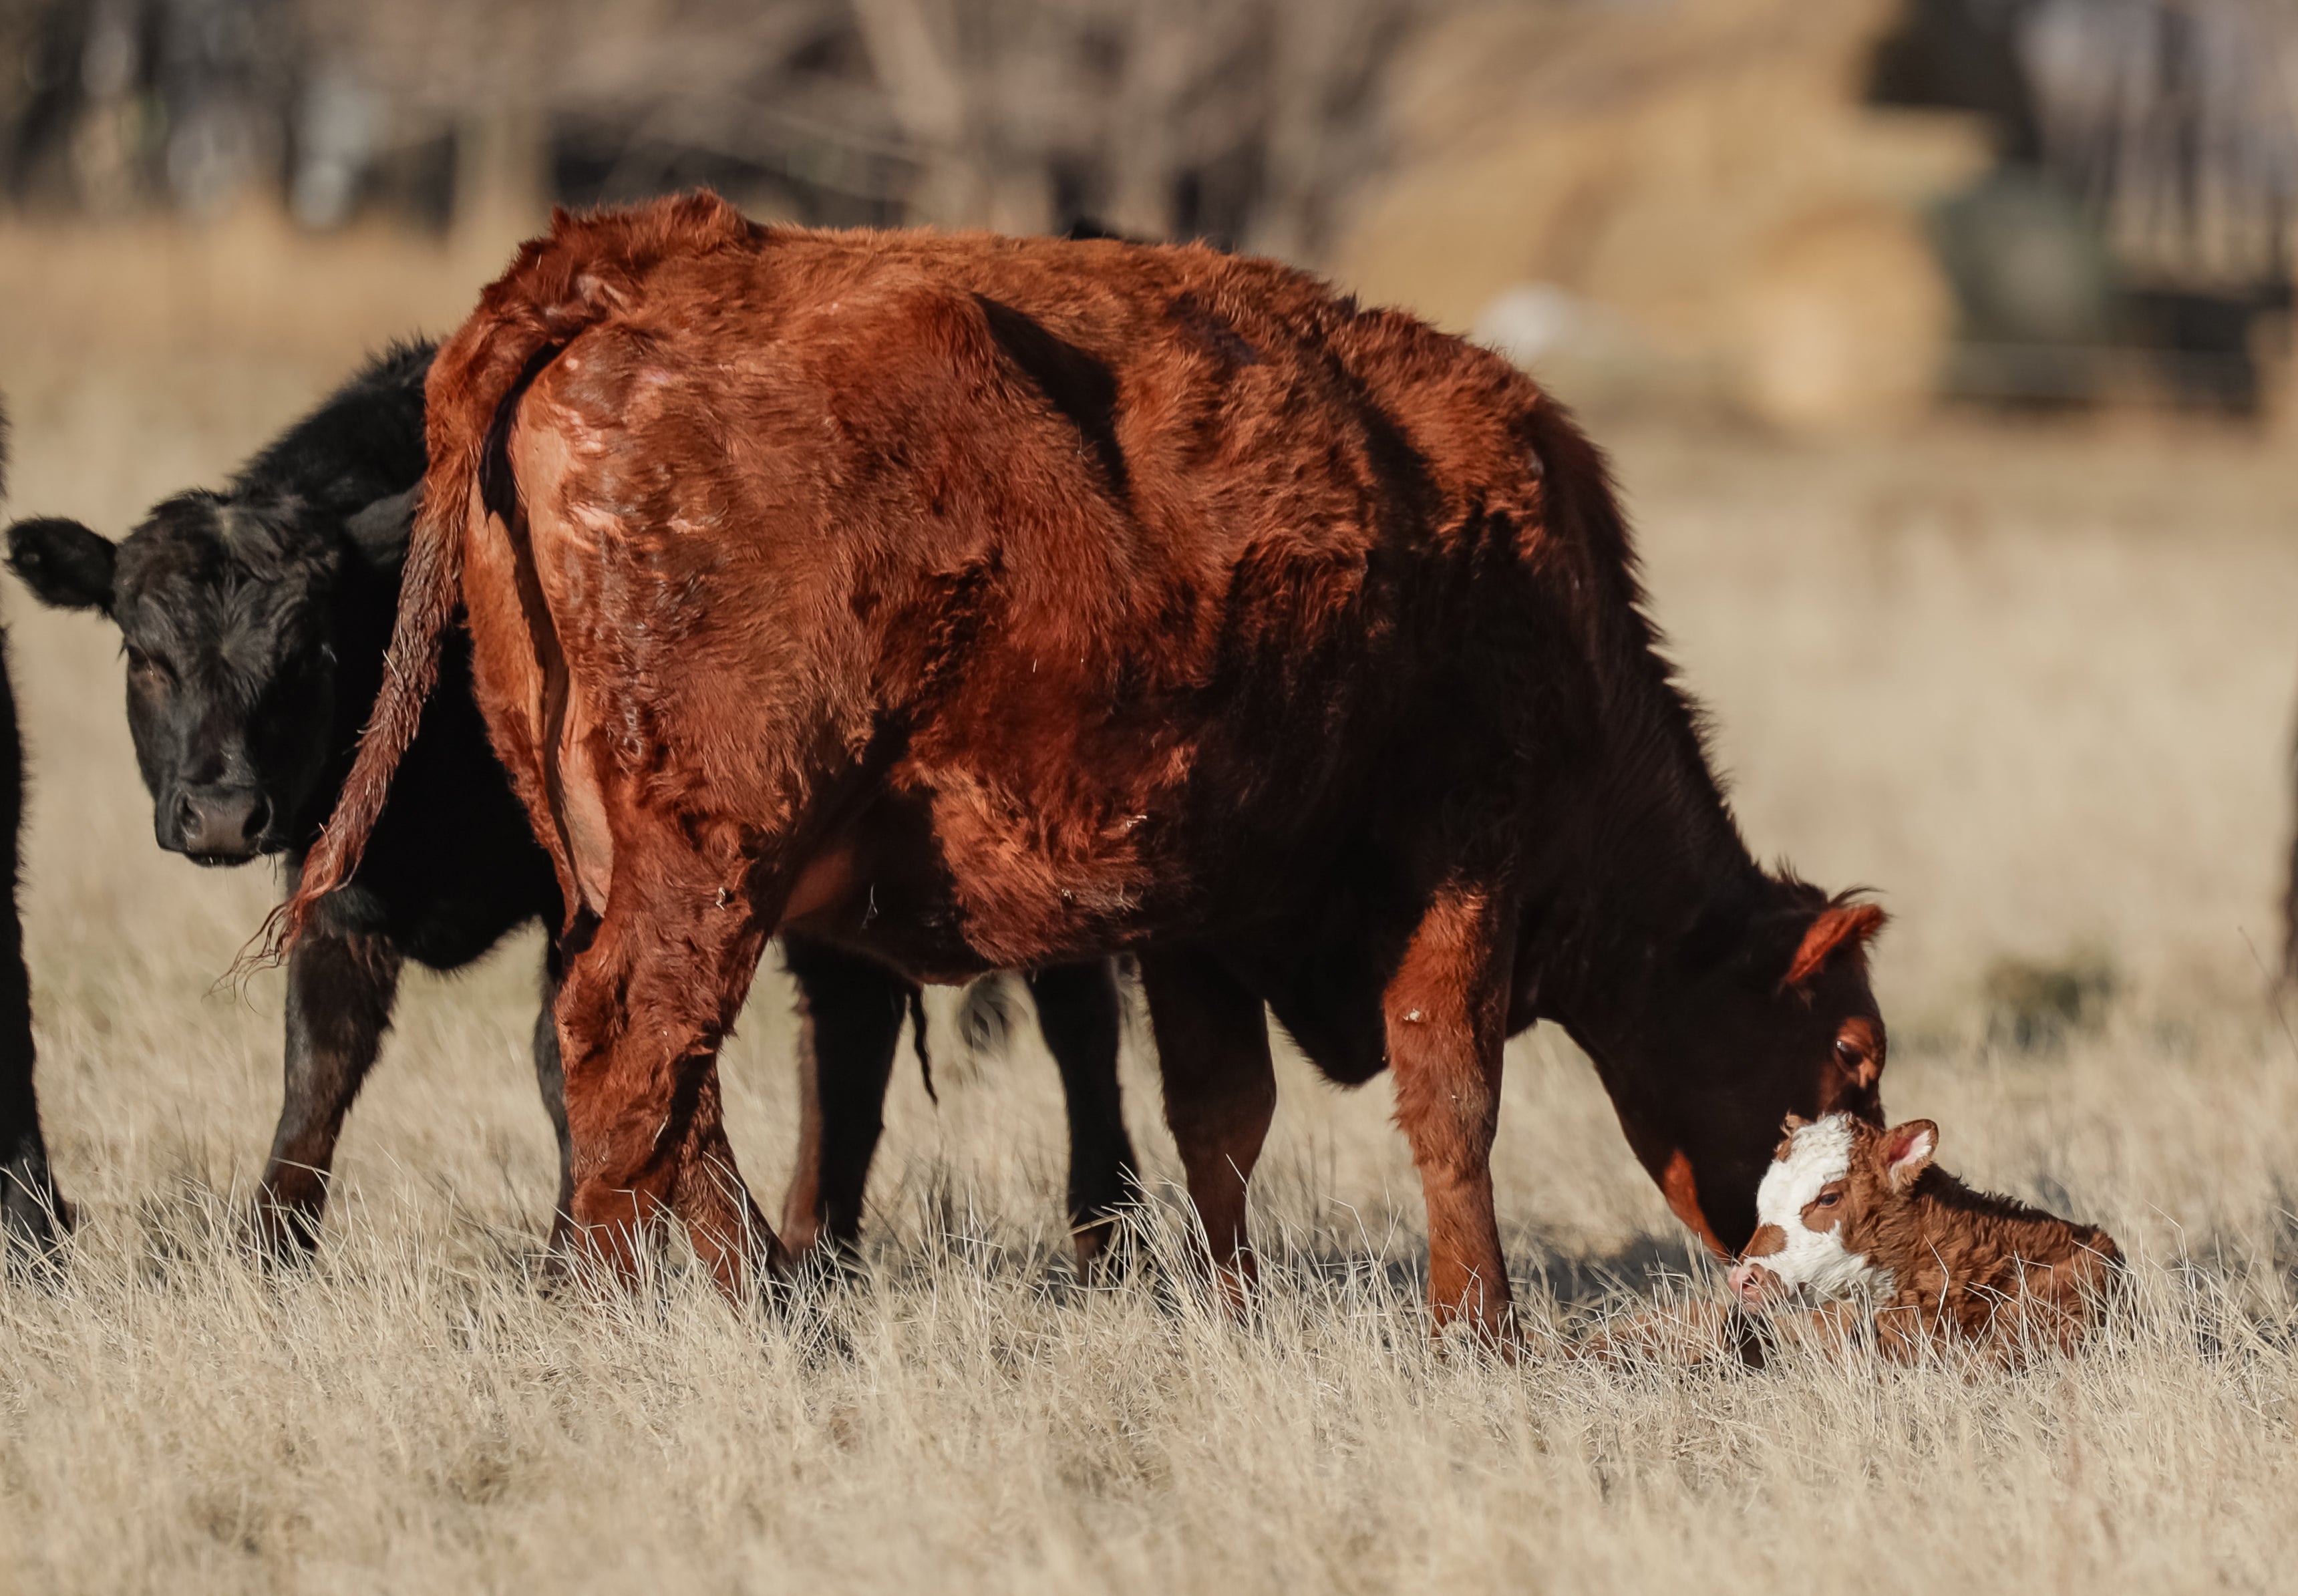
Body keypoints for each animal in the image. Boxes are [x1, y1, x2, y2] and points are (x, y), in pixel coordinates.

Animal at [5, 344, 1135, 1266]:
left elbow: (568, 1062)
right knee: (850, 1031)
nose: (224, 812)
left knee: (1076, 1017)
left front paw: (576, 1262)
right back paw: (823, 1246)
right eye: (145, 655)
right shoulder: (341, 892)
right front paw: (272, 1251)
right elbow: (318, 1069)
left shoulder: (584, 897)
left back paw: (1108, 1242)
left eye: (311, 653)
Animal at [286, 193, 1893, 1342]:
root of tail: (649, 256)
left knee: (667, 1088)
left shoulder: (1203, 906)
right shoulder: (1464, 865)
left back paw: (764, 1299)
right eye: (1855, 1056)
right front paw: (1478, 1325)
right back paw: (684, 1314)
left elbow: (1217, 1117)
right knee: (631, 1051)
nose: (1848, 1253)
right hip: (716, 849)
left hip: (631, 860)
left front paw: (1238, 1311)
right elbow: (1451, 1099)